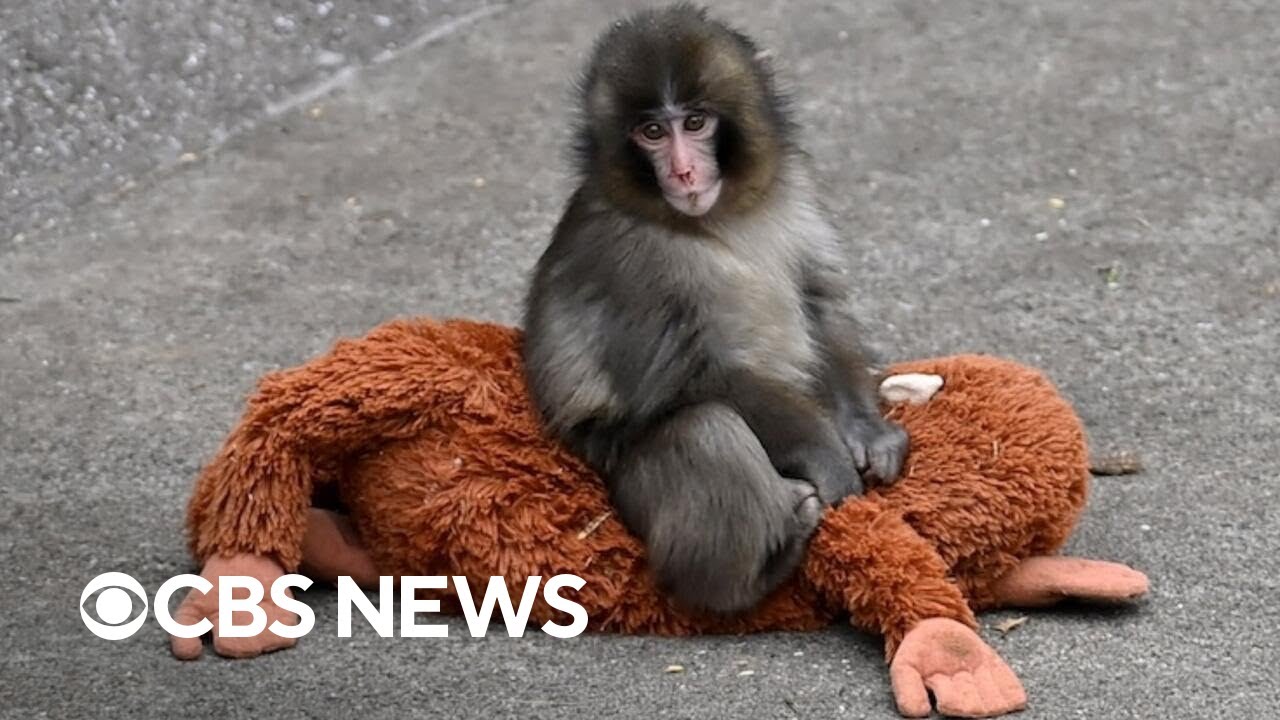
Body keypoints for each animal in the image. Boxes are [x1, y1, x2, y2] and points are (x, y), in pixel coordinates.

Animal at [521, 3, 908, 614]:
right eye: (653, 132)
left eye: (696, 123)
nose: (683, 172)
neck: (713, 218)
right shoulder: (629, 259)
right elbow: (695, 376)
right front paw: (828, 456)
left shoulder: (794, 186)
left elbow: (818, 301)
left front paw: (867, 432)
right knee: (705, 428)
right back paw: (754, 574)